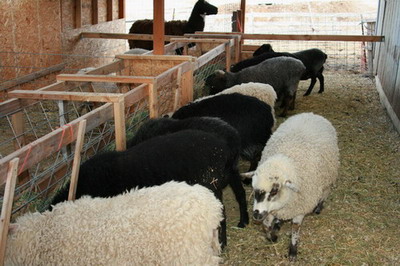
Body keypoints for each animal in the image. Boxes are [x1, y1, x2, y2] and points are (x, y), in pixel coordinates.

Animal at [50, 129, 248, 247]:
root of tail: (224, 149)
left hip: (210, 185)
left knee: (221, 214)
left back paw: (222, 243)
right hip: (227, 177)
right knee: (238, 196)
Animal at [252, 112, 340, 260]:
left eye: (274, 191)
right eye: (255, 190)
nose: (256, 214)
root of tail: (311, 114)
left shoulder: (300, 208)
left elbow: (295, 228)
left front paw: (293, 250)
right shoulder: (271, 210)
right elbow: (266, 225)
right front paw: (272, 237)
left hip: (329, 175)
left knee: (325, 191)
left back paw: (319, 207)